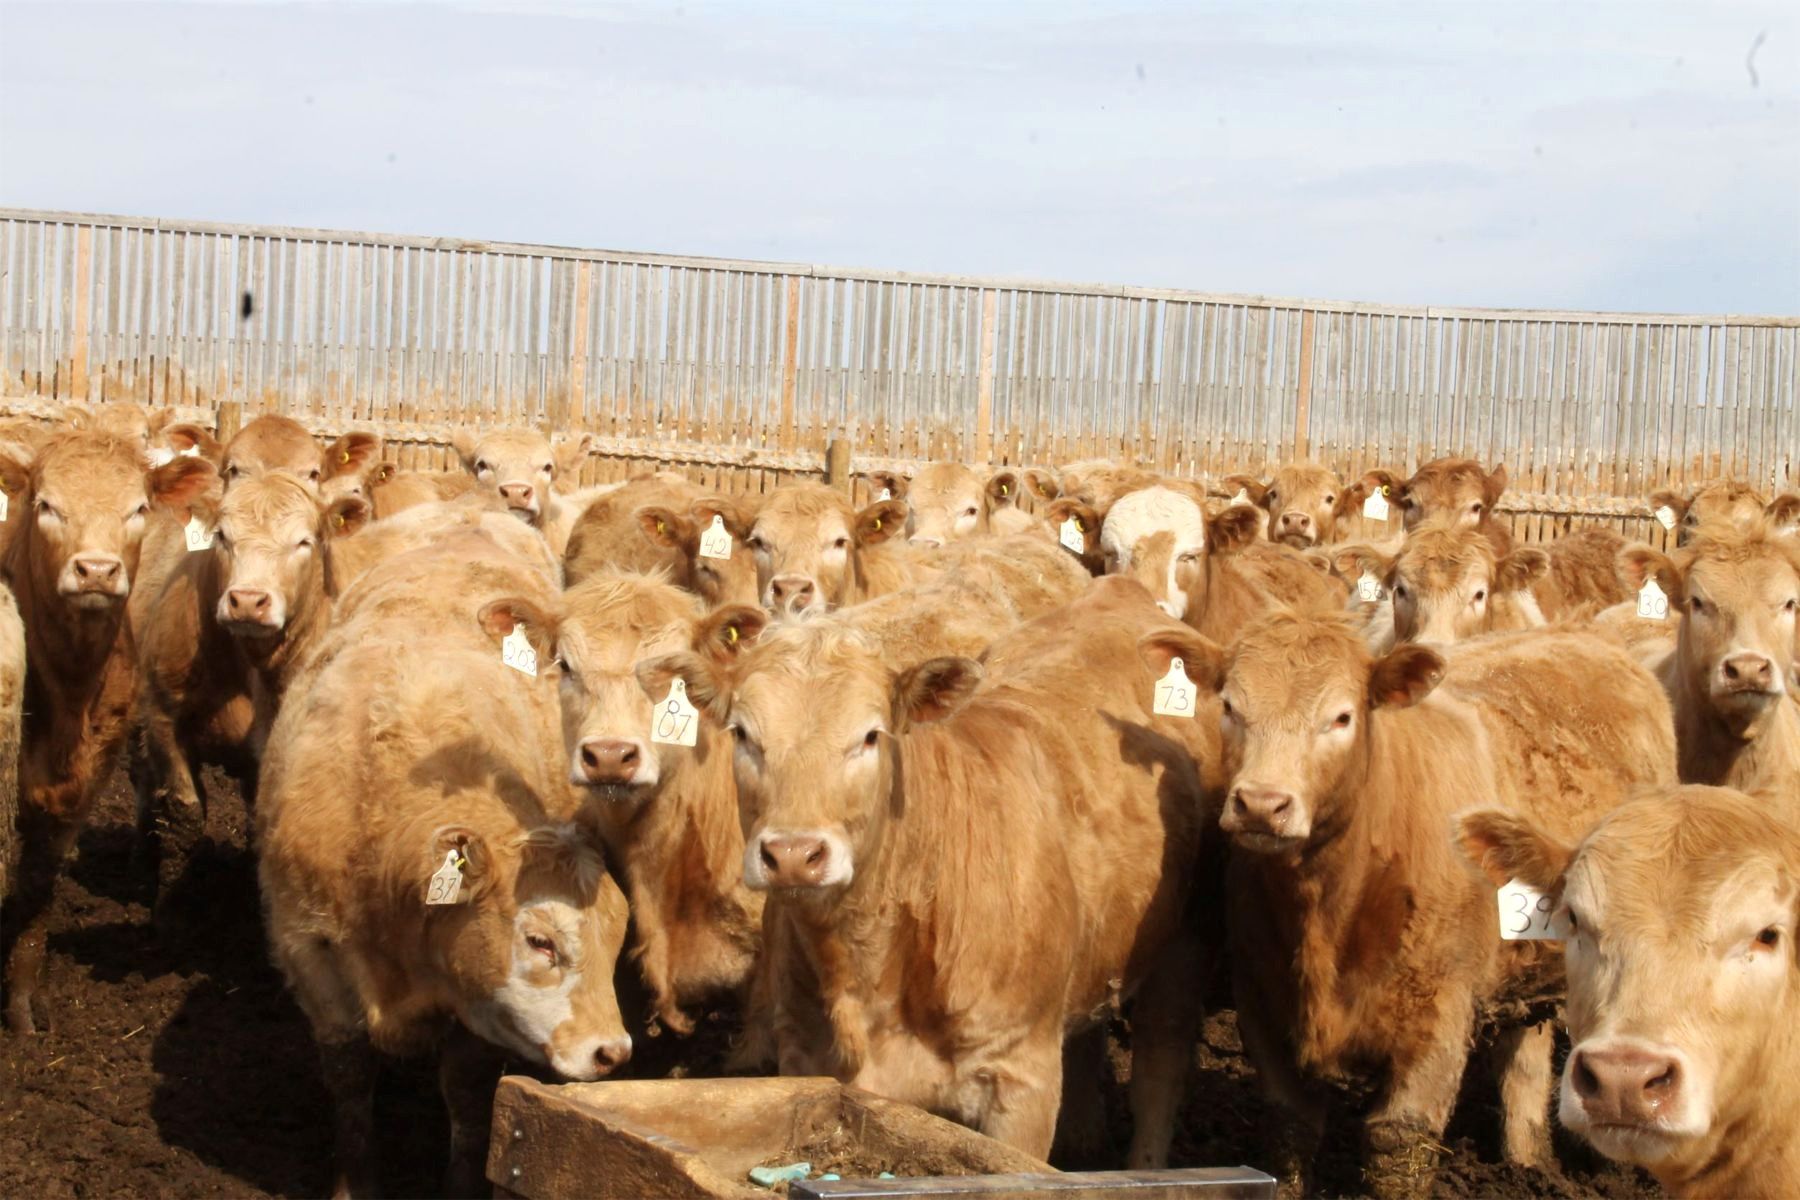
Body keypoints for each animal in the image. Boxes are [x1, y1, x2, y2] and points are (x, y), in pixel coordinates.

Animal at [0, 432, 215, 1032]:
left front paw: (23, 1003)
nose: (96, 570)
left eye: (138, 508)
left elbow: (37, 884)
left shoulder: (84, 783)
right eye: (45, 505)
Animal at [258, 530, 631, 1198]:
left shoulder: (477, 1003)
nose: (612, 1052)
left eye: (617, 938)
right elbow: (349, 1081)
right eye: (540, 942)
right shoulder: (308, 950)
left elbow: (466, 1092)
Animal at [650, 578, 1221, 1165]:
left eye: (871, 735)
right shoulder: (803, 1054)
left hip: (1187, 937)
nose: (793, 853)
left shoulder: (1023, 1081)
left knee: (1160, 1064)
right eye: (742, 733)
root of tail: (1119, 589)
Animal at [1137, 613, 1677, 1197]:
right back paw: (1526, 1160)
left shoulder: (1439, 1015)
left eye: (1342, 716)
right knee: (1525, 1060)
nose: (1261, 804)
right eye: (1231, 707)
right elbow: (1289, 1132)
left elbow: (1399, 1143)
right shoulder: (1264, 1002)